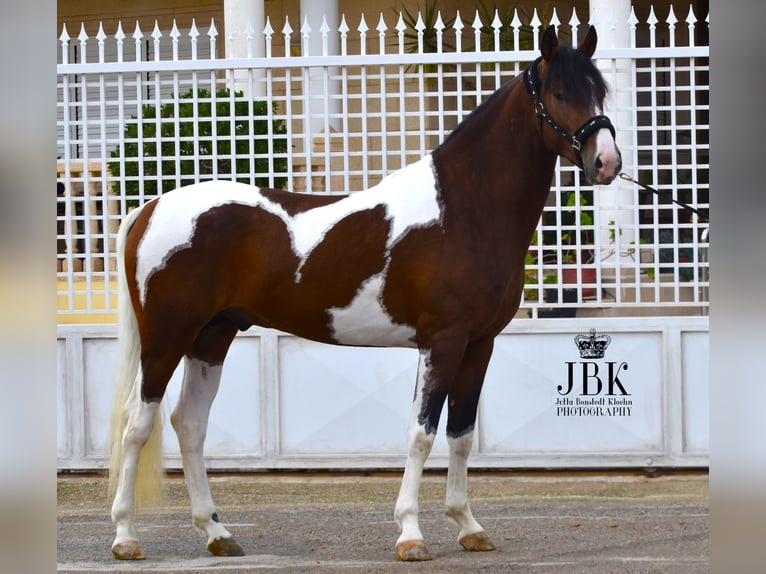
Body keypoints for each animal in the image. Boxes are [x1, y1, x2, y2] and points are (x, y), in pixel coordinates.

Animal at [107, 25, 621, 562]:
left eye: (599, 92)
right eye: (560, 93)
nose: (606, 161)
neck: (463, 210)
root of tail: (151, 207)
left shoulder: (480, 344)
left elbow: (460, 434)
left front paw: (468, 527)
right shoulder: (443, 342)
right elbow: (422, 433)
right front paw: (411, 534)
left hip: (211, 336)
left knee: (189, 423)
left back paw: (217, 533)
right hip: (167, 339)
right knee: (137, 424)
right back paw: (125, 537)